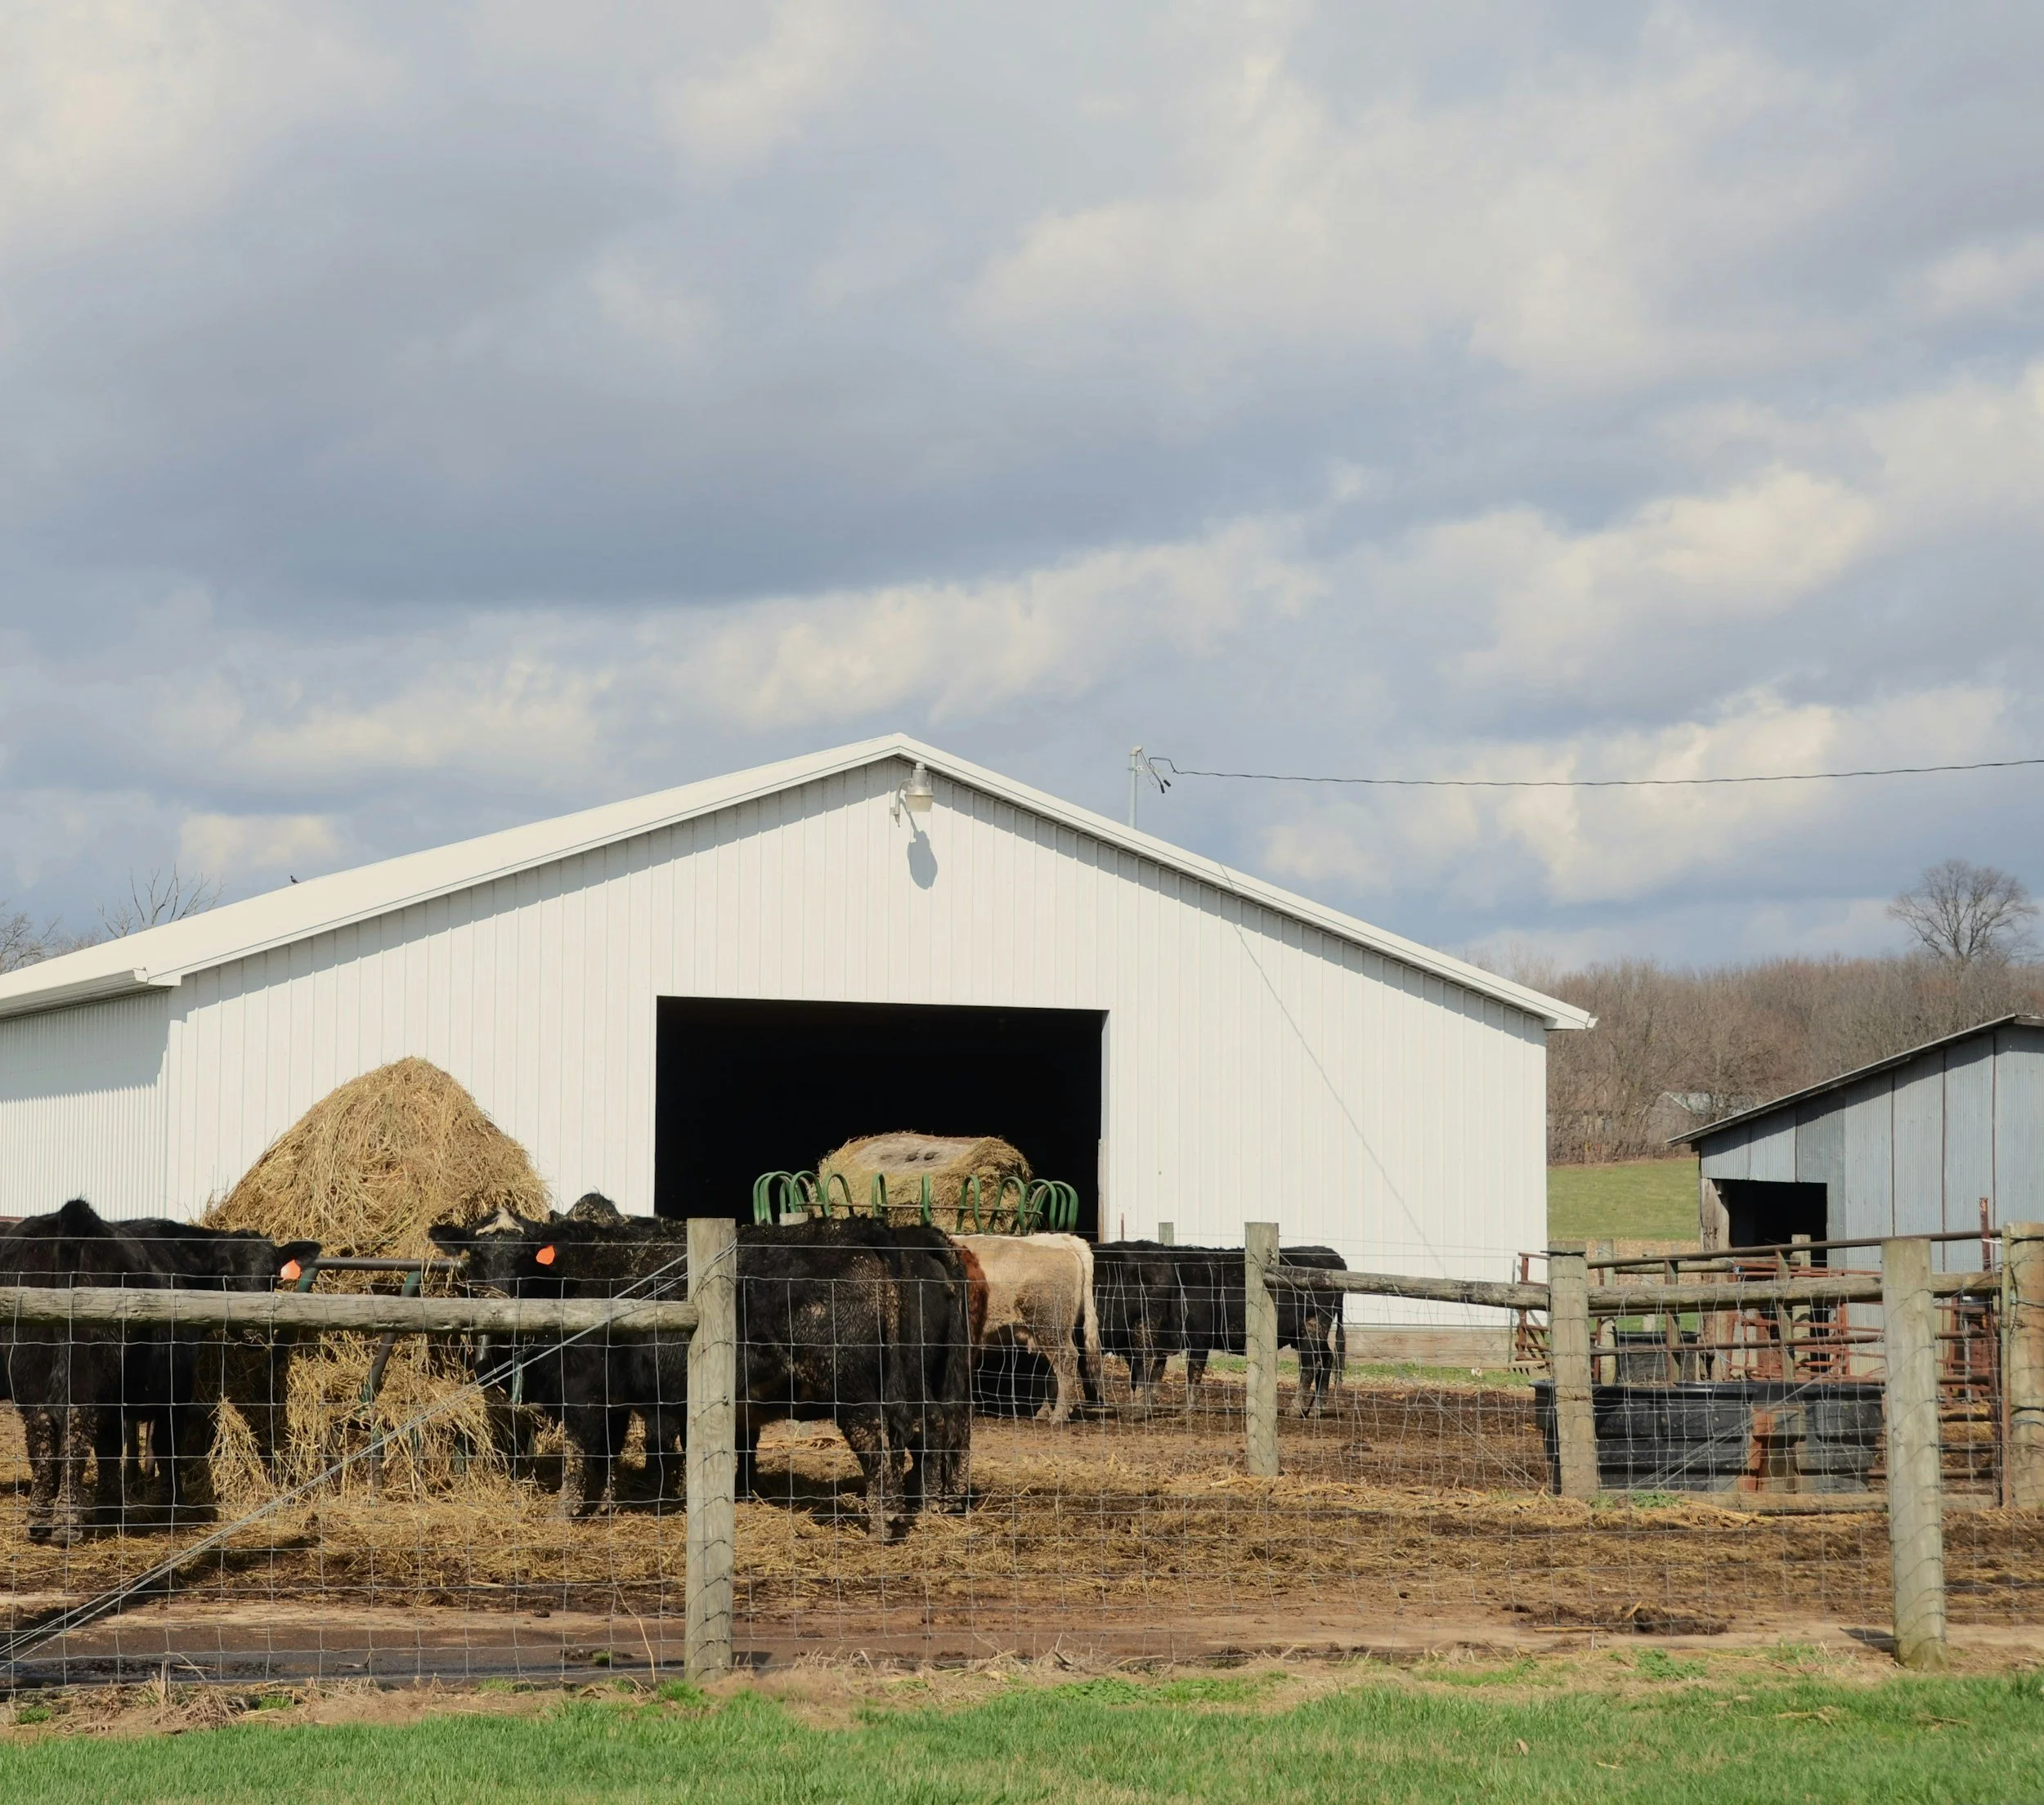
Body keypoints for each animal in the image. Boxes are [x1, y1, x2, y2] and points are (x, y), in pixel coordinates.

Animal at [952, 1233, 1101, 1423]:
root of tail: (1063, 1239)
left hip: (1050, 1325)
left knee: (1066, 1360)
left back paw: (1059, 1414)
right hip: (1044, 1331)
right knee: (1052, 1369)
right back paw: (1045, 1411)